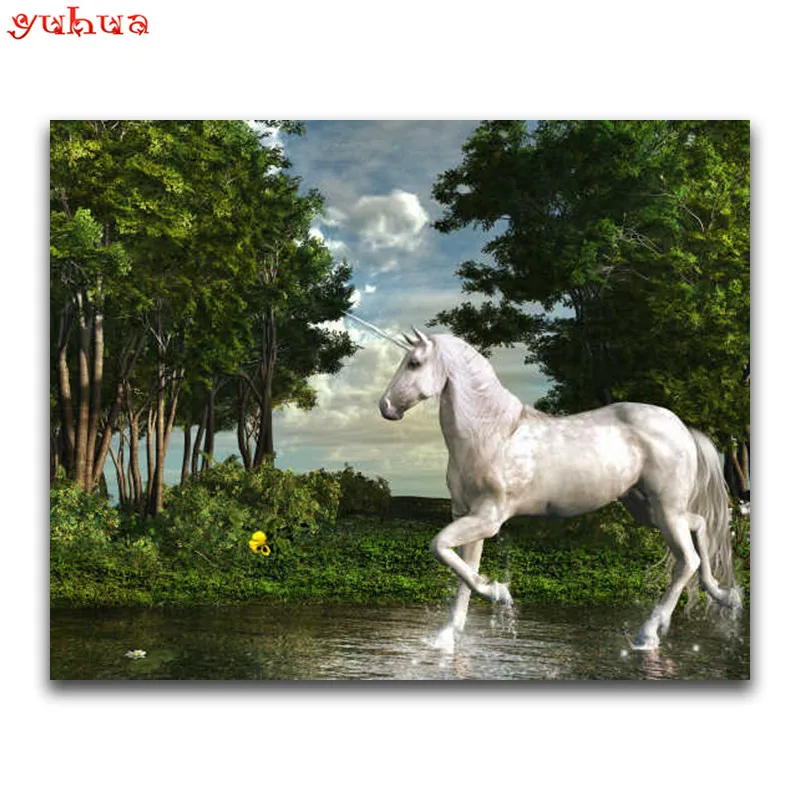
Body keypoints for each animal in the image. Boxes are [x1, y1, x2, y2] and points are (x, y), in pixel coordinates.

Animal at [378, 326, 742, 651]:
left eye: (414, 363)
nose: (386, 407)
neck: (493, 436)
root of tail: (682, 427)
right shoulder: (467, 517)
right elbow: (463, 573)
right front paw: (447, 636)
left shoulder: (487, 518)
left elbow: (439, 547)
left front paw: (499, 593)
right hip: (649, 510)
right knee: (700, 526)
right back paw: (725, 596)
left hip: (665, 510)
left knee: (687, 561)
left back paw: (649, 633)